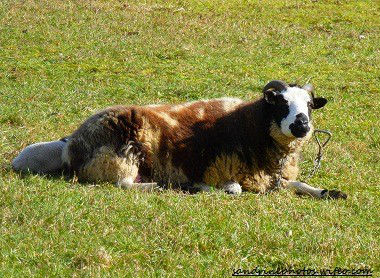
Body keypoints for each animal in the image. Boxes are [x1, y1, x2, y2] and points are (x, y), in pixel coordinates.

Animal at [12, 79, 348, 199]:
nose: (302, 125)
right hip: (119, 155)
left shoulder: (272, 177)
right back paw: (174, 186)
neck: (250, 125)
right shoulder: (219, 169)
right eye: (280, 103)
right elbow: (235, 189)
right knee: (123, 185)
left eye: (309, 105)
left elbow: (298, 184)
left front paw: (328, 191)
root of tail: (72, 142)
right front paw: (210, 188)